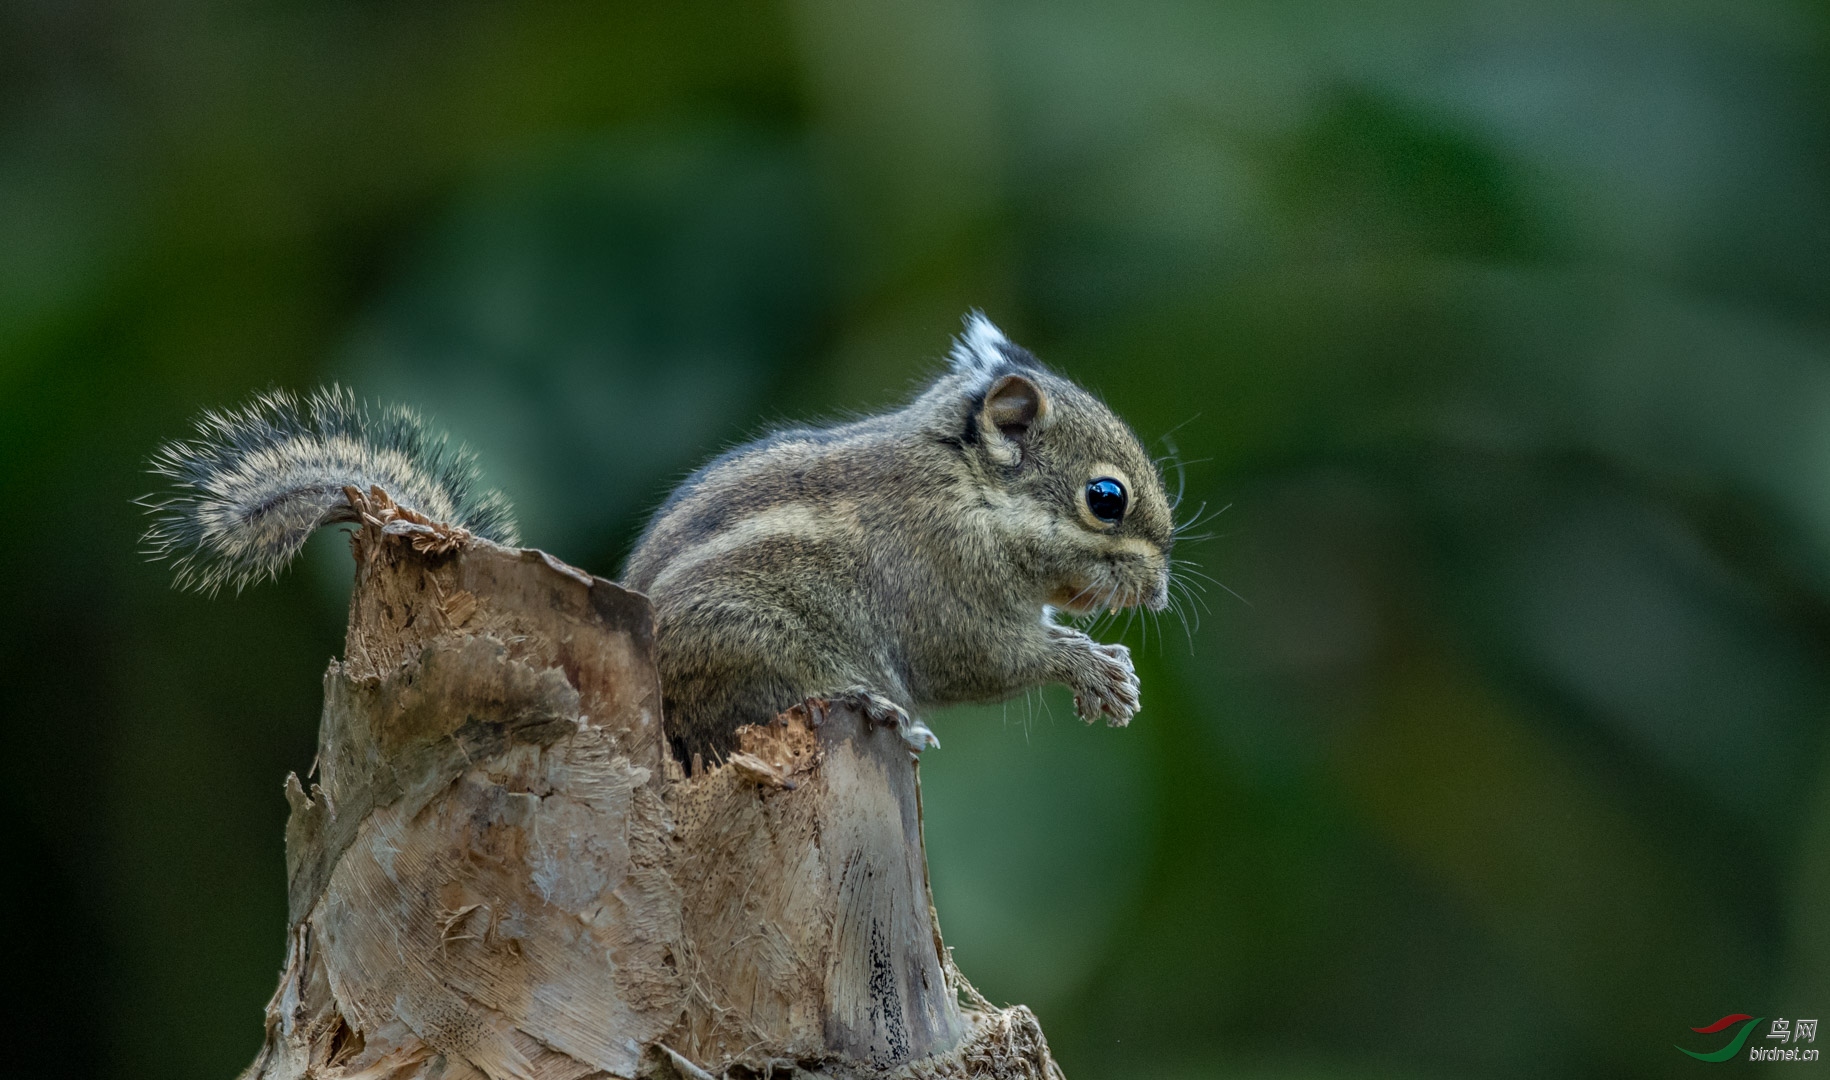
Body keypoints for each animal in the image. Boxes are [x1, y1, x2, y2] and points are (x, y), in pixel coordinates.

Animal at [142, 316, 1171, 765]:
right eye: (1106, 499)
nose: (1161, 593)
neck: (969, 488)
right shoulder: (945, 588)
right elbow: (987, 658)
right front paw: (1090, 667)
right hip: (759, 647)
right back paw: (880, 714)